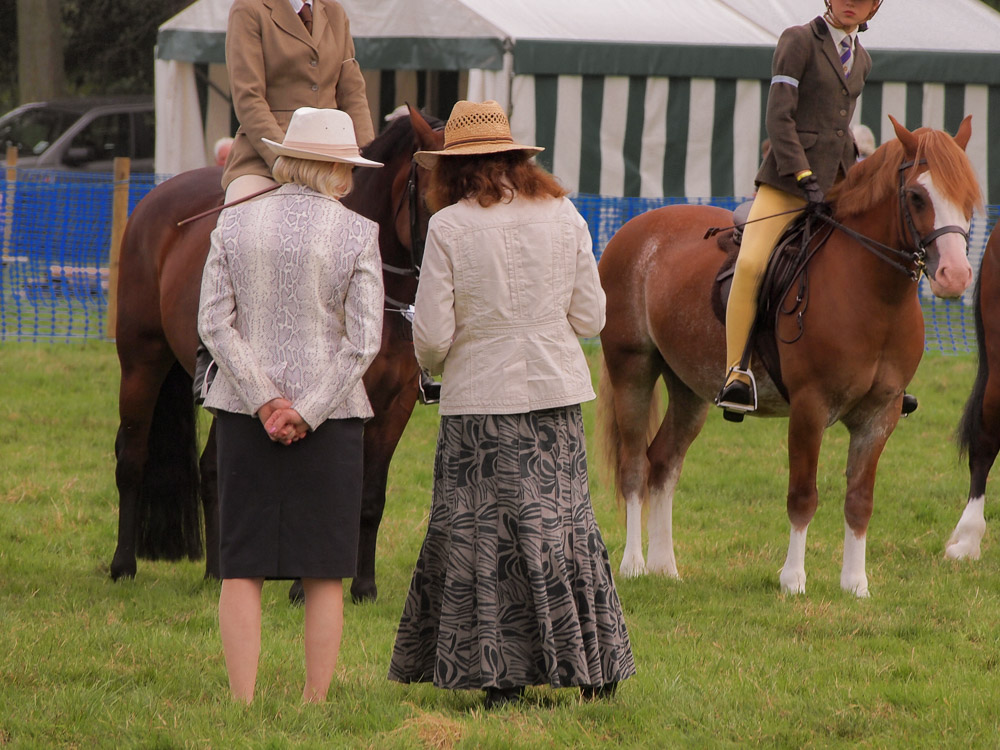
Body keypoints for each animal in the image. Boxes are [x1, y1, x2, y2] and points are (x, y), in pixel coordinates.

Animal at [106, 108, 446, 604]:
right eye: (436, 197)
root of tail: (155, 198)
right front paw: (305, 588)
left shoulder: (394, 404)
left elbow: (370, 498)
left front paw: (363, 588)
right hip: (142, 361)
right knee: (132, 455)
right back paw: (123, 566)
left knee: (213, 469)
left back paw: (220, 573)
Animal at [596, 117, 980, 600]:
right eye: (916, 196)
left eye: (968, 197)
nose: (955, 276)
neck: (872, 294)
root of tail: (634, 228)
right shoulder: (809, 408)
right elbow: (803, 495)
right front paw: (793, 580)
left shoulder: (880, 414)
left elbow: (860, 499)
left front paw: (855, 584)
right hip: (633, 369)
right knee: (634, 465)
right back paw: (633, 565)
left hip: (689, 388)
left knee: (663, 463)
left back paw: (666, 568)